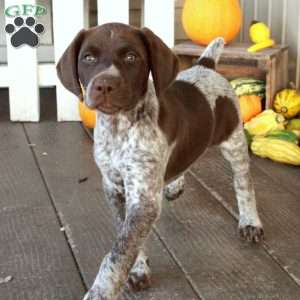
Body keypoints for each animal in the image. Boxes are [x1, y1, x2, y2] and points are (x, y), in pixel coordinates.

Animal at [56, 22, 262, 300]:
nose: (104, 85)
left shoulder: (143, 199)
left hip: (233, 140)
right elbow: (126, 235)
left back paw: (250, 220)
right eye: (88, 58)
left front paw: (102, 290)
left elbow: (119, 251)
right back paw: (174, 185)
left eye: (131, 57)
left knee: (243, 182)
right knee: (186, 158)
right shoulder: (114, 187)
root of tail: (205, 65)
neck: (119, 127)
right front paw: (138, 268)